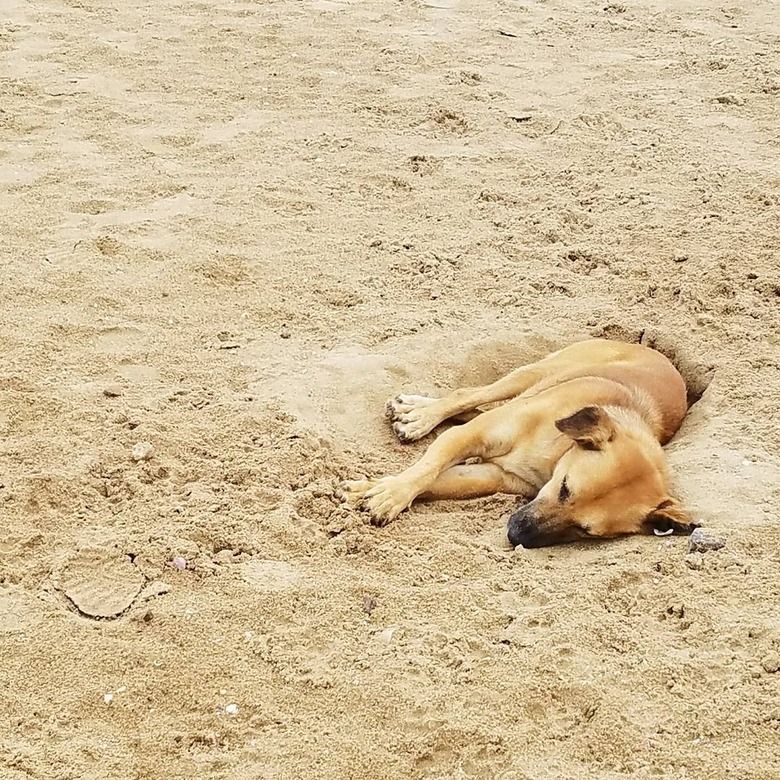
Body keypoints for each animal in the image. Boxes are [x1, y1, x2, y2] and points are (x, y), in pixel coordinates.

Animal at [338, 340, 696, 548]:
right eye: (565, 488)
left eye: (585, 530)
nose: (514, 534)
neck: (555, 455)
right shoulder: (469, 436)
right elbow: (425, 470)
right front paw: (390, 494)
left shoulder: (492, 476)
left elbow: (434, 483)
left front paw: (372, 489)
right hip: (532, 373)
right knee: (469, 395)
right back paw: (420, 415)